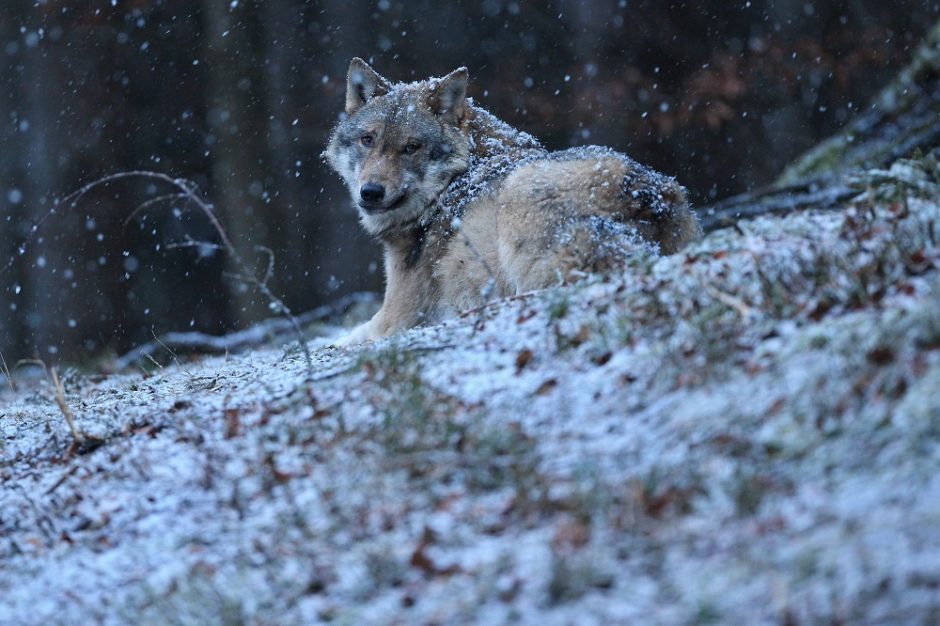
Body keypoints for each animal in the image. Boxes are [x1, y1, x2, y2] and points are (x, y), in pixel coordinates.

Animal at [324, 58, 696, 344]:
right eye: (367, 140)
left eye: (411, 147)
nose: (370, 191)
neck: (452, 182)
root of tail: (652, 200)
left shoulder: (396, 316)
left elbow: (344, 340)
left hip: (521, 191)